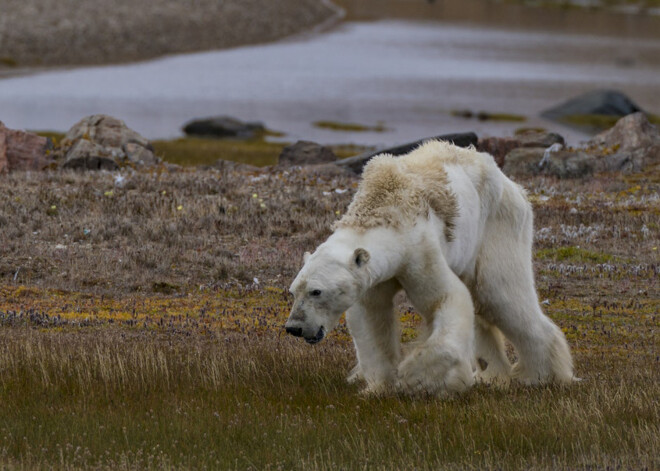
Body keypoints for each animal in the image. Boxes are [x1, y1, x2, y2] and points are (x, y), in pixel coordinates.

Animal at [286, 139, 576, 394]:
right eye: (293, 291)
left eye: (316, 291)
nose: (294, 328)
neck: (384, 208)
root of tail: (513, 185)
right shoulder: (374, 277)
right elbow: (371, 318)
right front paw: (378, 386)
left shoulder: (419, 250)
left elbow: (446, 298)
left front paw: (417, 377)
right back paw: (491, 375)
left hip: (497, 226)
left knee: (500, 295)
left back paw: (540, 376)